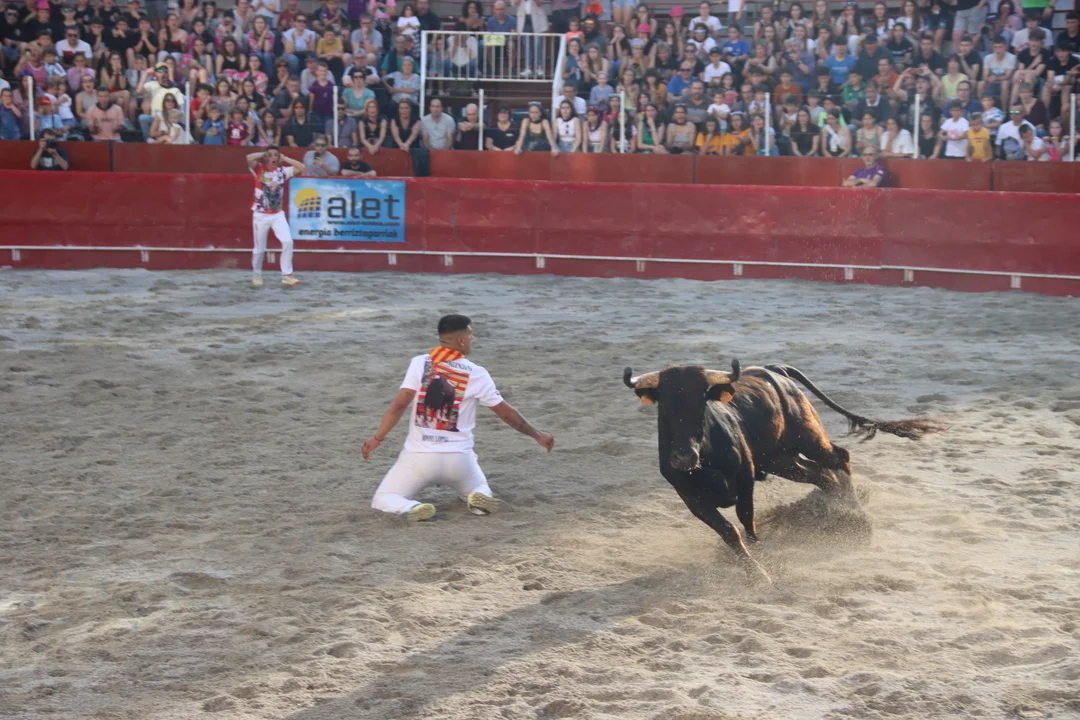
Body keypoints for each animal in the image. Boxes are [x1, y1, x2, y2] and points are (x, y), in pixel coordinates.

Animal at [622, 359, 943, 583]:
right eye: (664, 406)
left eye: (702, 401)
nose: (683, 456)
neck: (706, 457)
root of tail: (774, 370)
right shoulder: (691, 498)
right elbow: (728, 532)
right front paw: (755, 571)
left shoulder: (745, 477)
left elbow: (746, 518)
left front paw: (762, 561)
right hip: (780, 460)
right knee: (822, 476)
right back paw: (838, 514)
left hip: (808, 437)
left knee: (839, 459)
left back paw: (857, 519)